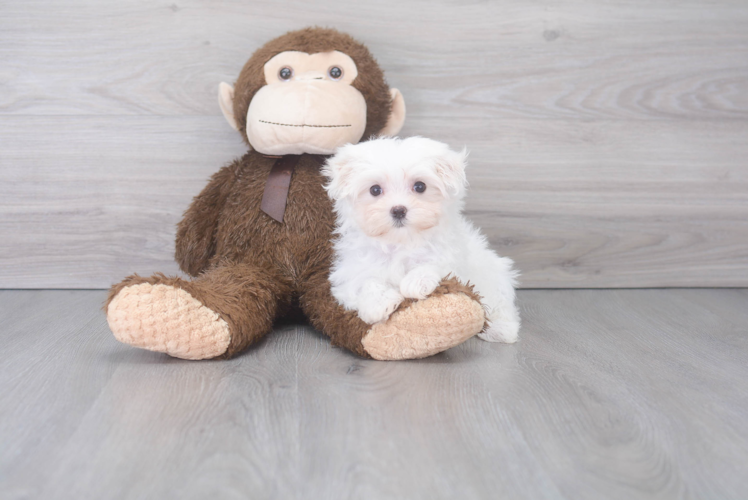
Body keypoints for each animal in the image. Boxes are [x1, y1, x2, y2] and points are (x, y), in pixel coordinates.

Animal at [322, 137, 520, 344]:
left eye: (420, 186)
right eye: (375, 190)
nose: (398, 210)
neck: (401, 241)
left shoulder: (453, 257)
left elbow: (437, 263)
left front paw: (416, 282)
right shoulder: (350, 273)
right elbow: (365, 281)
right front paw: (378, 303)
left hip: (492, 275)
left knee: (500, 304)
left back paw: (500, 329)